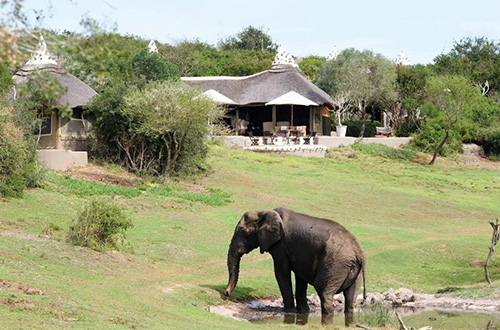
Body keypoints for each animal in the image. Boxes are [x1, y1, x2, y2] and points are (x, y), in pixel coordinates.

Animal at [225, 208, 366, 326]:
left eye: (242, 231)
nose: (227, 294)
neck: (263, 212)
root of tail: (358, 252)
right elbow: (300, 277)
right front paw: (303, 311)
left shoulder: (280, 244)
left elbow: (281, 272)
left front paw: (288, 310)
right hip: (353, 269)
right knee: (351, 297)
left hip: (335, 264)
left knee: (324, 293)